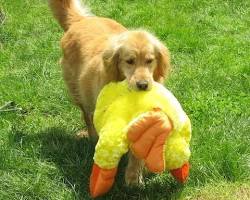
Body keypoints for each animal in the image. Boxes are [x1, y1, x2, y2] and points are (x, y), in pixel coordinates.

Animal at [48, 0, 170, 186]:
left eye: (150, 61)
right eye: (129, 61)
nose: (143, 85)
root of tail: (81, 21)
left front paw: (134, 175)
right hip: (79, 94)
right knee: (88, 117)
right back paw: (91, 137)